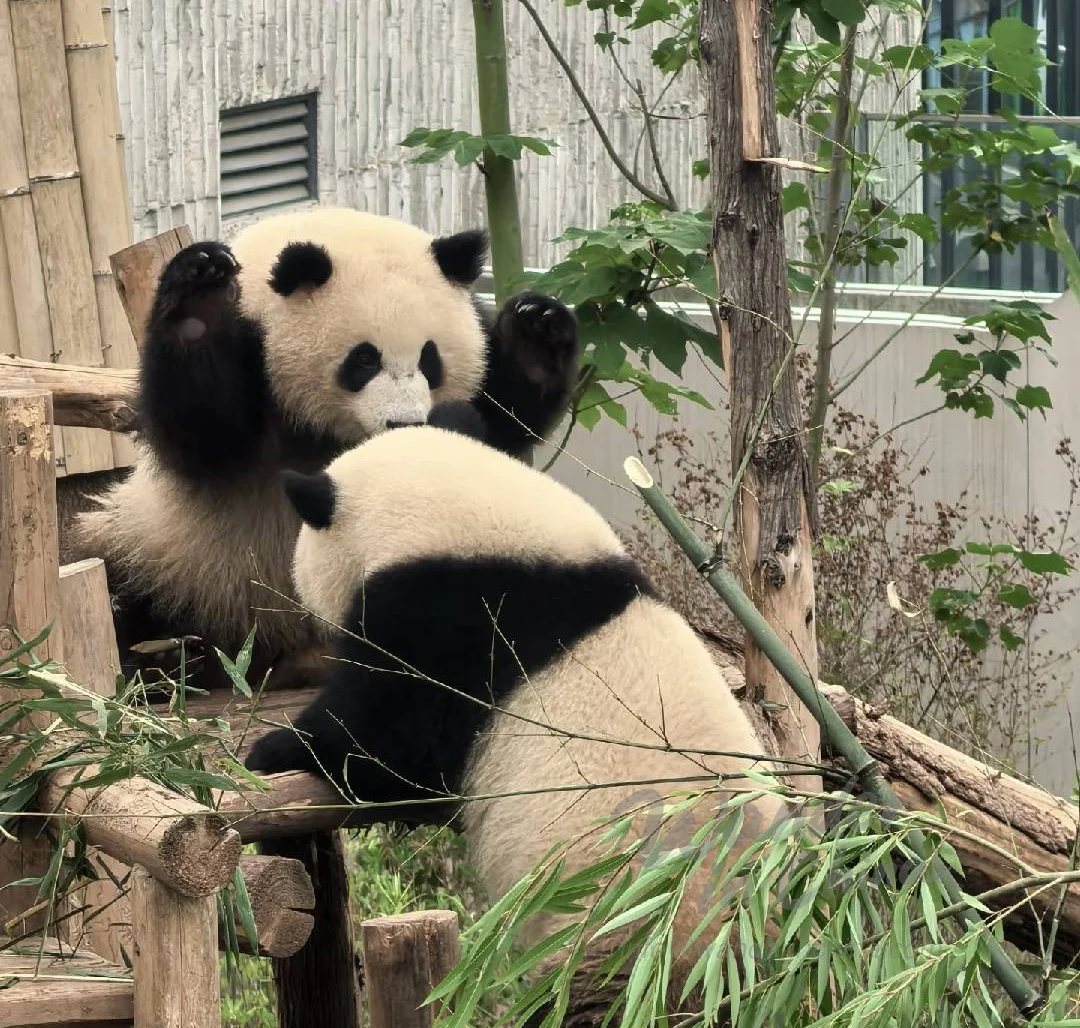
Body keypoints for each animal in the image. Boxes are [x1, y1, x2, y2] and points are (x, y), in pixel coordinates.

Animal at [74, 207, 580, 693]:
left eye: (429, 359)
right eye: (364, 359)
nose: (405, 423)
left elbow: (501, 422)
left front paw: (537, 328)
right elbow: (202, 430)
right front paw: (202, 284)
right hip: (167, 558)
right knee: (120, 586)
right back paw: (160, 659)